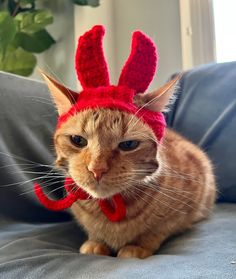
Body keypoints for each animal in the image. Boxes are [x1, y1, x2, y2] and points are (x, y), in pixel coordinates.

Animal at [42, 74, 216, 260]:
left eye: (129, 145)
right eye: (78, 140)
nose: (97, 170)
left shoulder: (188, 203)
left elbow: (157, 230)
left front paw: (137, 246)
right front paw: (96, 242)